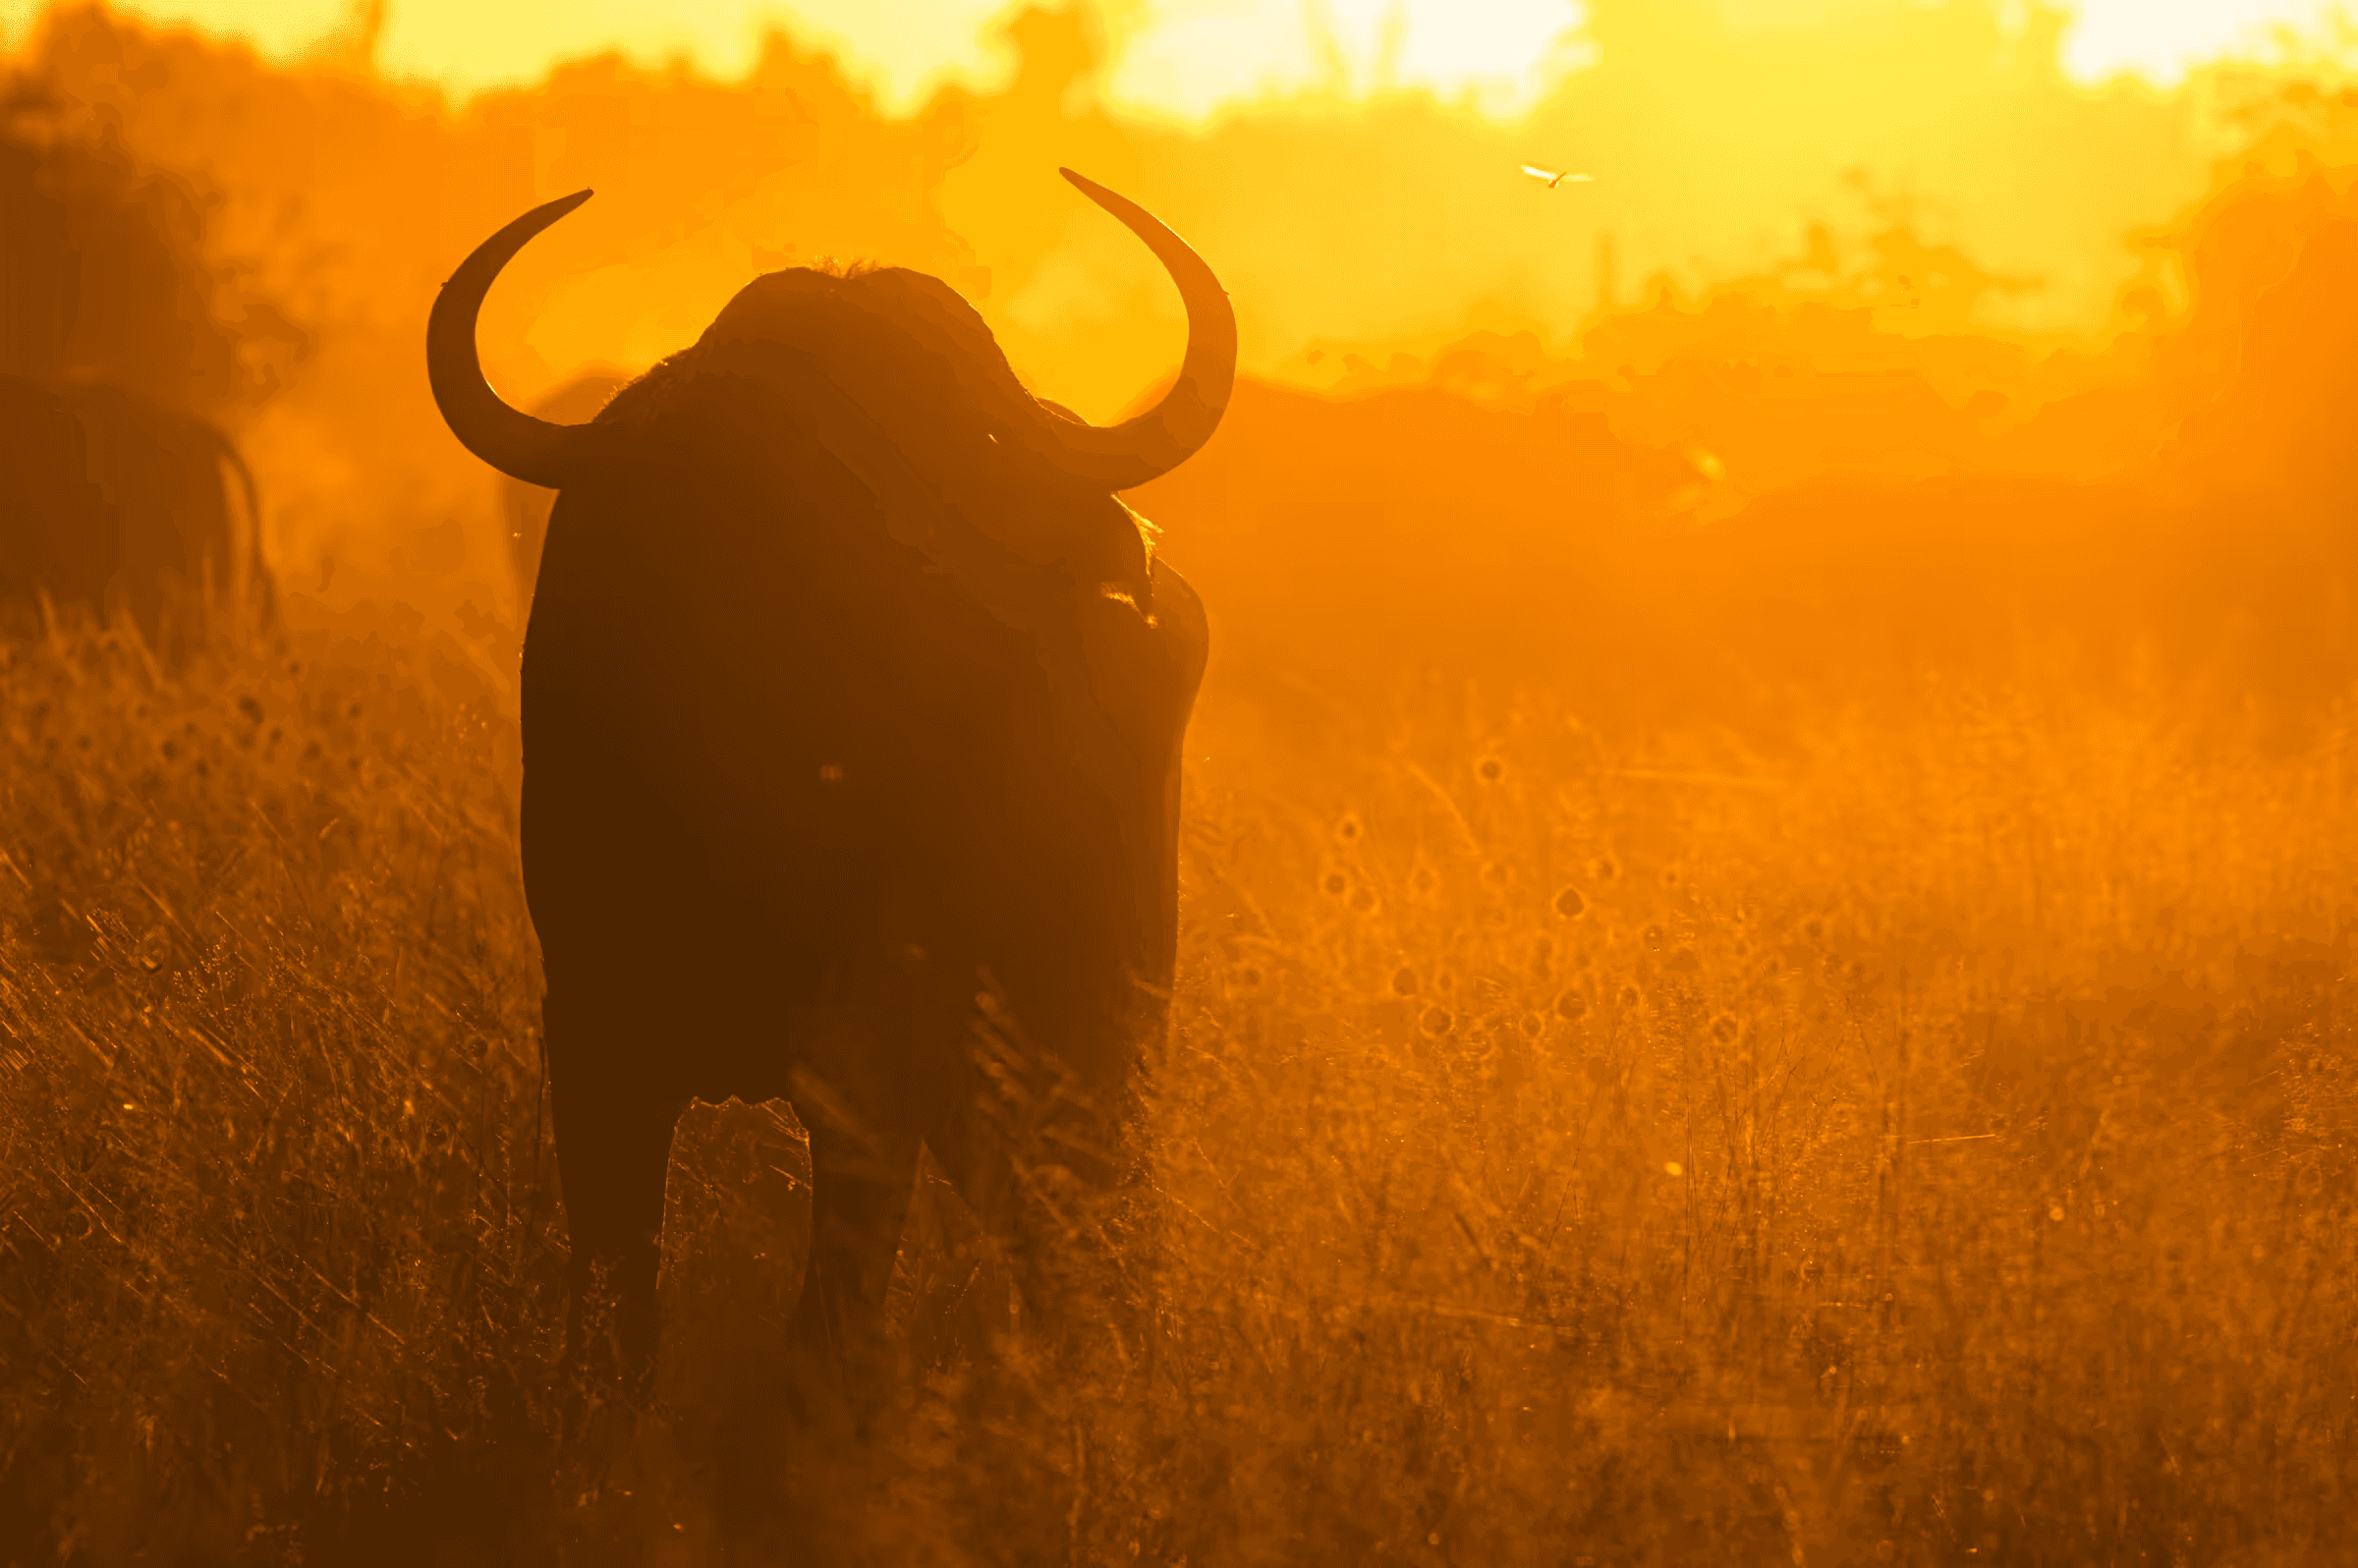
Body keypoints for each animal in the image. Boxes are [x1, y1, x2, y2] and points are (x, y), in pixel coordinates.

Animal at [425, 173, 1234, 1425]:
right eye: (749, 475)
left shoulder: (873, 1059)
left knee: (1091, 1220)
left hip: (1101, 1020)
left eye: (968, 459)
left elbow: (832, 1313)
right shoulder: (592, 1019)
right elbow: (616, 1284)